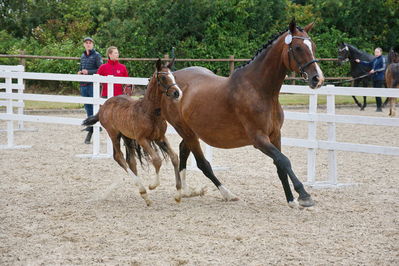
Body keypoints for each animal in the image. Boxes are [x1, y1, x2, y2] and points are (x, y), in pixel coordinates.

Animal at [83, 59, 184, 207]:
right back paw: (142, 189)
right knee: (118, 157)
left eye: (173, 76)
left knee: (131, 161)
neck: (149, 112)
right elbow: (157, 160)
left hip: (127, 137)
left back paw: (144, 194)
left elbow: (174, 157)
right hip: (114, 134)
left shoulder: (159, 137)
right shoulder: (142, 139)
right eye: (163, 78)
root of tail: (104, 106)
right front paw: (153, 185)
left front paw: (178, 194)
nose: (177, 93)